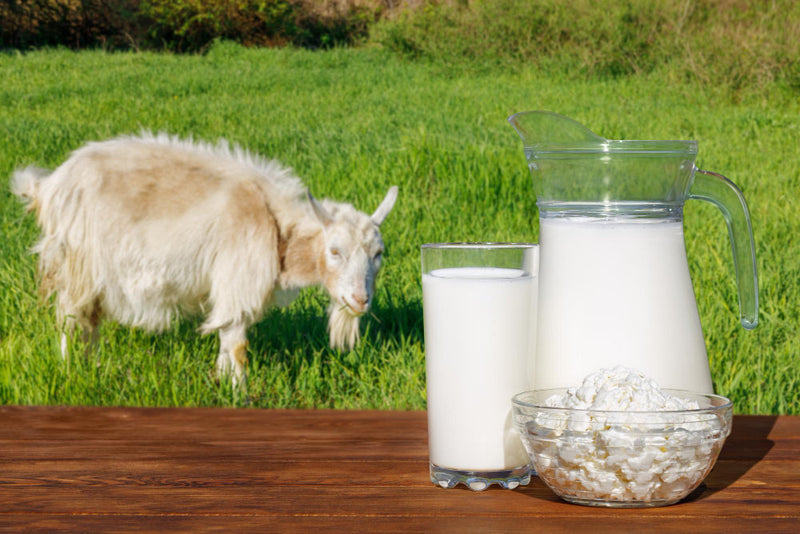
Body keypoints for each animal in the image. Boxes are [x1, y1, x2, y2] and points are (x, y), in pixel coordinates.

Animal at [11, 132, 398, 384]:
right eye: (334, 251)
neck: (277, 227)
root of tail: (48, 187)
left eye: (379, 254)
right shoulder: (237, 280)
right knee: (70, 319)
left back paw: (90, 368)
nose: (361, 300)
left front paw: (224, 384)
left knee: (88, 321)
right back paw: (70, 370)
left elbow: (228, 345)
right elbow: (237, 345)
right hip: (75, 263)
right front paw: (240, 392)